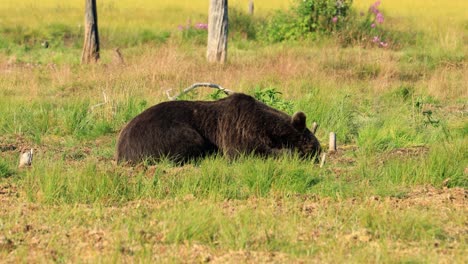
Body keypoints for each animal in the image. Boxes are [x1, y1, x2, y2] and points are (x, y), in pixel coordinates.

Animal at [116, 93, 322, 163]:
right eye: (315, 147)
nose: (319, 153)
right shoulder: (238, 128)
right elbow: (245, 150)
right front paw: (289, 153)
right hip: (163, 133)